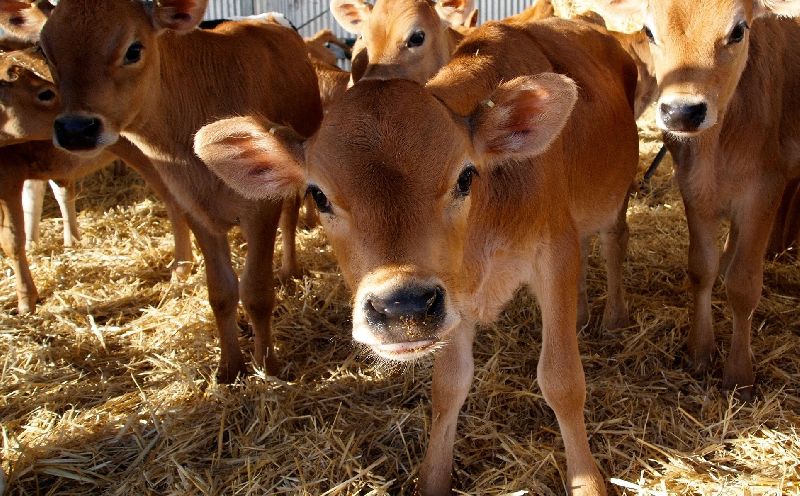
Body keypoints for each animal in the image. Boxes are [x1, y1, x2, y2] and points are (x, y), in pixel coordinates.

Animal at [0, 48, 193, 314]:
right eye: (46, 93)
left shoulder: (10, 177)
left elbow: (12, 240)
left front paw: (26, 300)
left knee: (175, 202)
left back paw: (180, 269)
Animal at [39, 0, 323, 382]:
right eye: (45, 50)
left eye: (133, 49)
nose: (75, 129)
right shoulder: (195, 210)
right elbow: (221, 291)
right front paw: (229, 368)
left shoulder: (261, 209)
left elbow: (256, 291)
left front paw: (267, 367)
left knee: (289, 221)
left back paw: (289, 272)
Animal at [196, 17, 639, 495]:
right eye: (318, 195)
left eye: (466, 177)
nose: (402, 307)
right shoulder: (453, 291)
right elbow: (448, 385)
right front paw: (433, 477)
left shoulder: (554, 251)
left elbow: (561, 380)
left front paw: (588, 481)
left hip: (617, 196)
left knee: (614, 240)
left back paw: (614, 315)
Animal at [593, 0, 800, 399]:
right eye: (649, 30)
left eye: (739, 30)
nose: (682, 112)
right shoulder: (692, 186)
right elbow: (701, 268)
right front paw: (699, 352)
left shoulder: (764, 189)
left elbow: (744, 284)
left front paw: (739, 375)